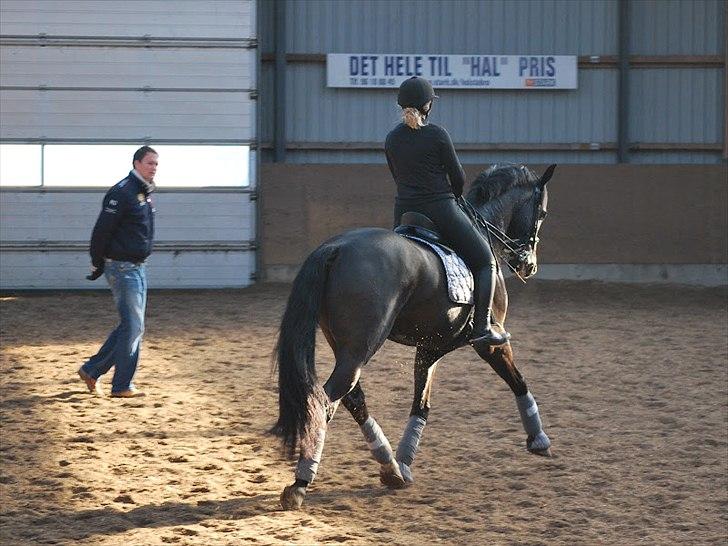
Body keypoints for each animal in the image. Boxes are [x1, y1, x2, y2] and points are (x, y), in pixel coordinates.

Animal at [270, 163, 556, 510]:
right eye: (542, 212)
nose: (529, 265)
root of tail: (335, 248)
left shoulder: (429, 348)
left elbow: (421, 406)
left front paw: (405, 463)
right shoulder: (490, 344)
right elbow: (518, 381)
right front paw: (539, 439)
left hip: (347, 348)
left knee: (351, 397)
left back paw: (390, 467)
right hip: (362, 346)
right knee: (327, 400)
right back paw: (301, 482)